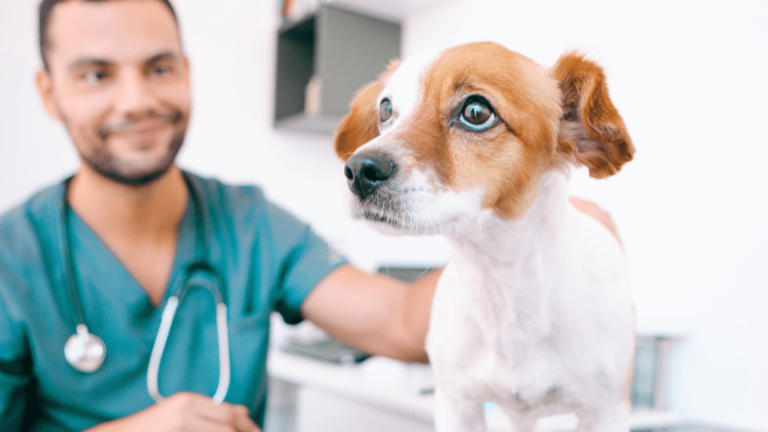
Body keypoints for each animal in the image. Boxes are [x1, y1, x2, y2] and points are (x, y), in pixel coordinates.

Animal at [334, 41, 636, 432]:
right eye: (386, 110)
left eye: (476, 112)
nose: (358, 170)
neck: (502, 283)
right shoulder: (456, 404)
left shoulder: (606, 411)